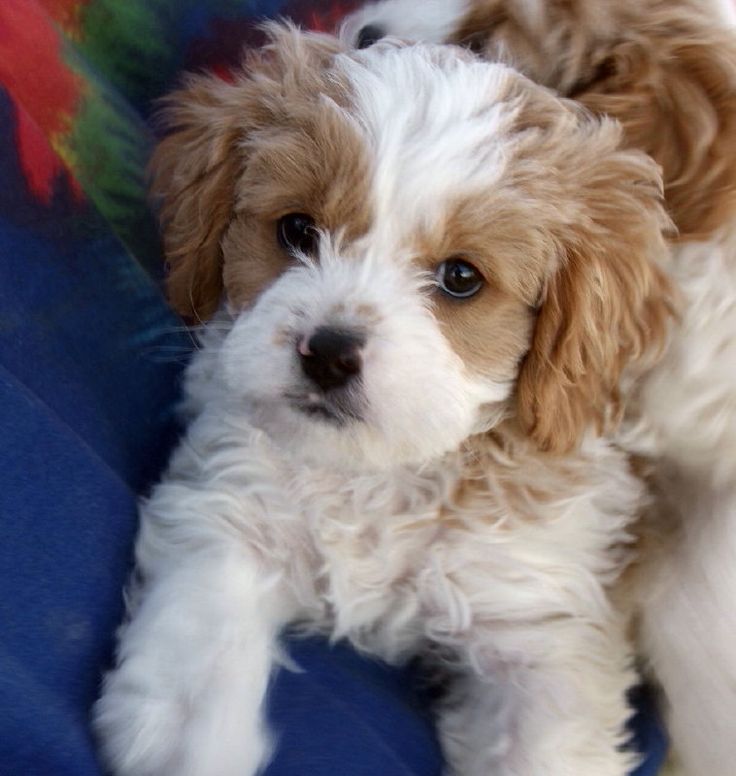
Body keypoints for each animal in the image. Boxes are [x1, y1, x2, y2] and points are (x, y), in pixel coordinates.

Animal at [90, 25, 672, 776]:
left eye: (461, 278)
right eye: (298, 231)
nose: (329, 352)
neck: (381, 475)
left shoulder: (542, 625)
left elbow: (548, 743)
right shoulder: (236, 493)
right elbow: (205, 621)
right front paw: (185, 734)